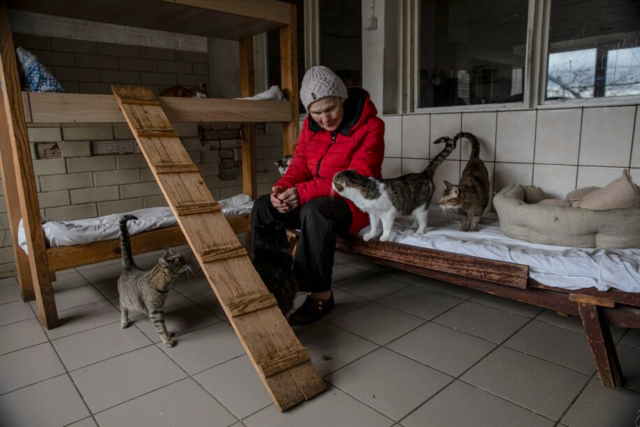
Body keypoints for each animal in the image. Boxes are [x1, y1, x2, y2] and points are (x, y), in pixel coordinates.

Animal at [117, 216, 189, 350]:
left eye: (183, 257)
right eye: (180, 260)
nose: (188, 259)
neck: (164, 286)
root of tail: (130, 266)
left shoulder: (159, 309)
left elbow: (163, 325)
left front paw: (168, 334)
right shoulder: (155, 311)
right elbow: (161, 327)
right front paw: (167, 340)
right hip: (126, 300)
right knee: (123, 308)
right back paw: (124, 321)